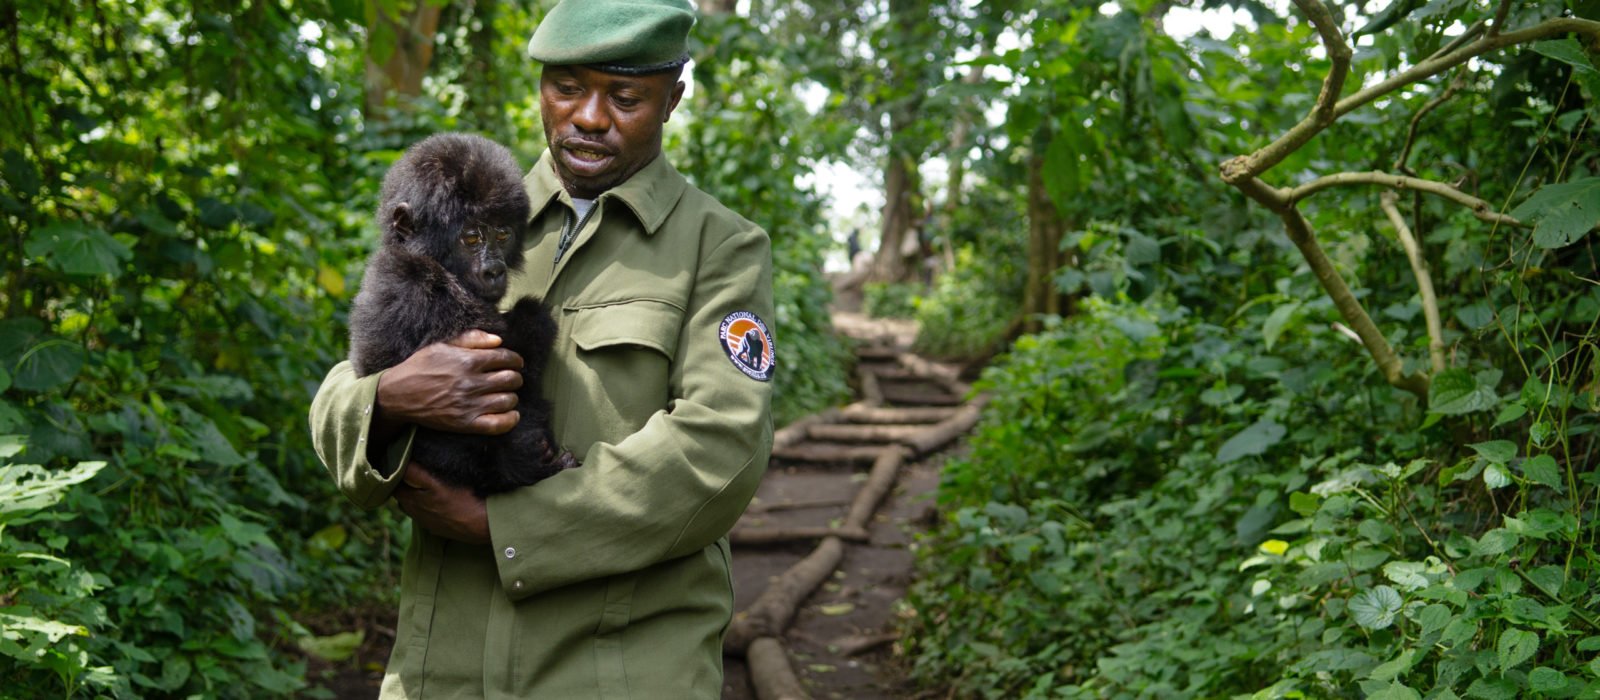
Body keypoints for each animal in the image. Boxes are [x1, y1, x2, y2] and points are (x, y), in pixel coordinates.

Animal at [350, 131, 576, 498]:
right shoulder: (420, 290)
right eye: (471, 238)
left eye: (502, 233)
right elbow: (518, 349)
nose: (494, 271)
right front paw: (533, 315)